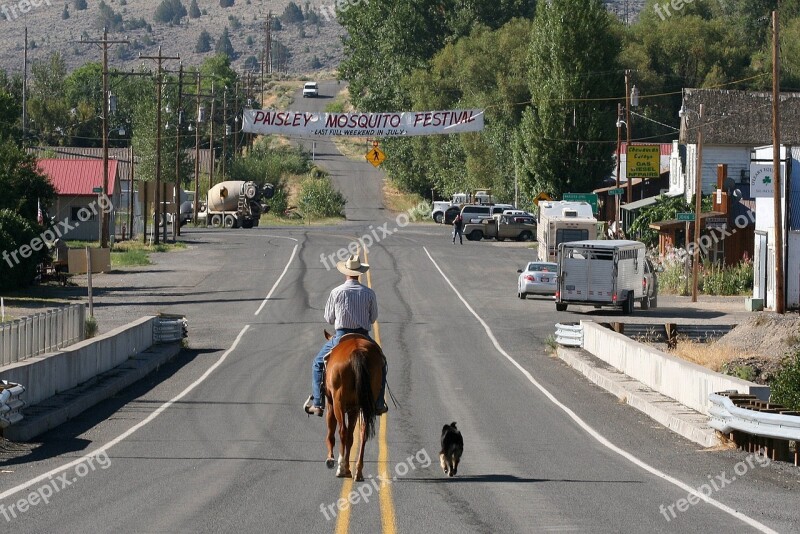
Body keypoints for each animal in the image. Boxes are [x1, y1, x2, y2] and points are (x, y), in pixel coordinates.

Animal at [324, 330, 388, 482]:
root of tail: (357, 351)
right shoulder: (354, 409)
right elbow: (351, 437)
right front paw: (348, 468)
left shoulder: (331, 403)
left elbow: (332, 431)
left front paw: (331, 460)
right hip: (365, 404)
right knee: (363, 432)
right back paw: (358, 472)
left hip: (338, 403)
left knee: (342, 430)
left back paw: (340, 469)